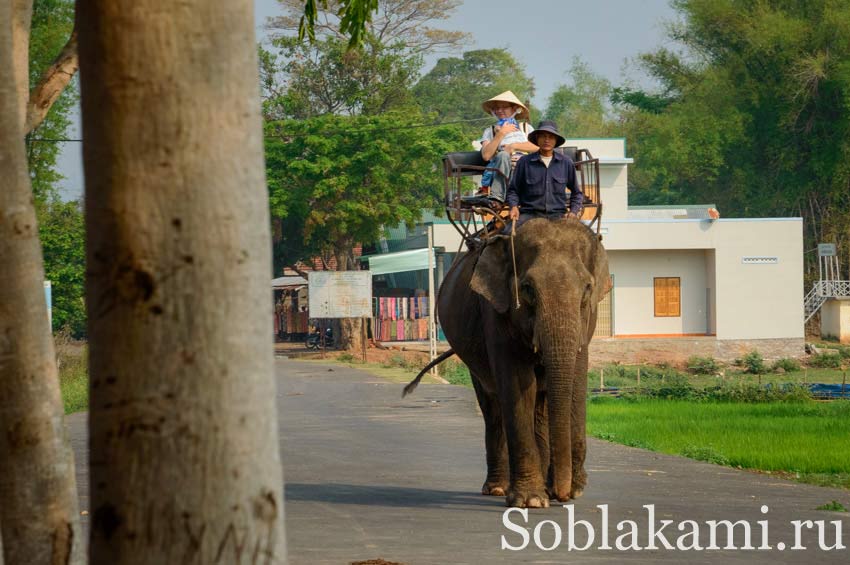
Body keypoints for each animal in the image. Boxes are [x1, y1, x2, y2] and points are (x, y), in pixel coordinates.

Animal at [406, 217, 608, 506]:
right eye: (527, 289)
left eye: (588, 289)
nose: (563, 492)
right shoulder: (495, 312)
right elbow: (518, 384)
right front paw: (531, 501)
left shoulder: (587, 320)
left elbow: (575, 383)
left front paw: (567, 491)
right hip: (472, 357)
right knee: (493, 405)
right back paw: (499, 488)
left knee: (538, 405)